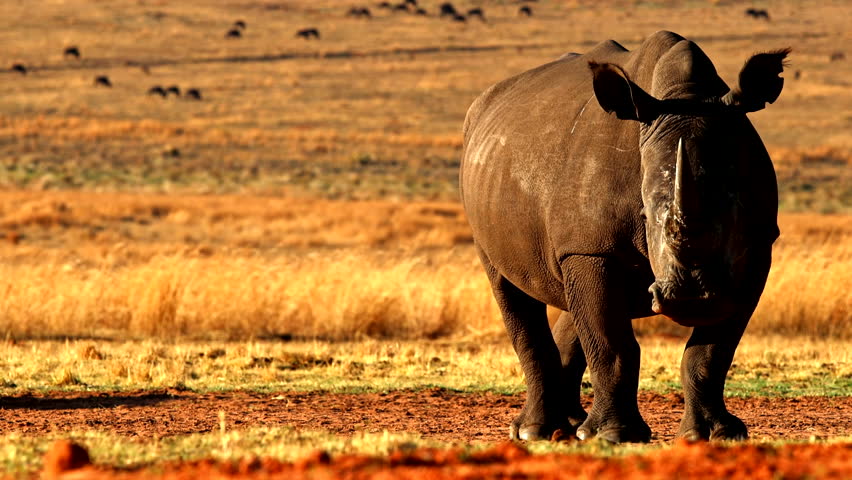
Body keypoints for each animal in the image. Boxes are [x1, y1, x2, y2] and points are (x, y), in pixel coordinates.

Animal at [460, 31, 789, 443]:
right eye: (644, 214)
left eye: (736, 209)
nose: (692, 299)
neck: (687, 96)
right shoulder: (590, 249)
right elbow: (613, 344)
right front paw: (615, 436)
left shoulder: (758, 248)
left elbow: (712, 352)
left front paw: (716, 435)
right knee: (510, 290)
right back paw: (536, 432)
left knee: (575, 305)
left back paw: (572, 427)